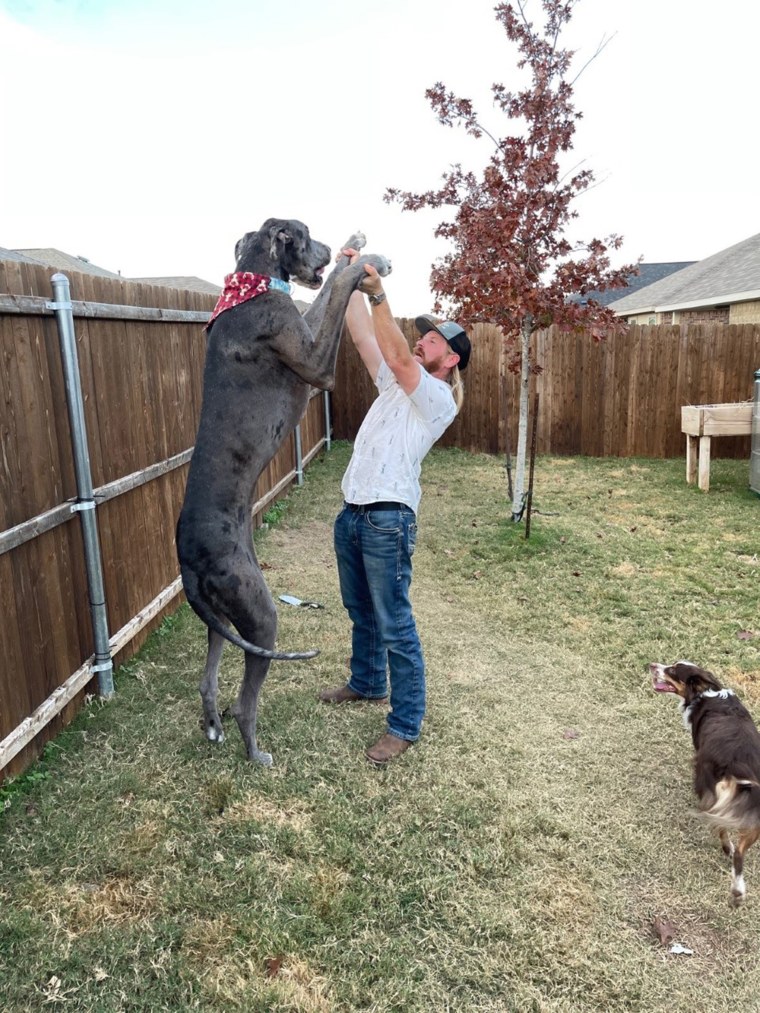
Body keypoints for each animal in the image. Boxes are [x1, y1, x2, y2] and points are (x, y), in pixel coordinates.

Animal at [178, 219, 393, 761]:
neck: (252, 282)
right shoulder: (314, 360)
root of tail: (188, 565)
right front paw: (366, 263)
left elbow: (326, 292)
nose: (327, 247)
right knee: (243, 702)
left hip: (223, 614)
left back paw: (212, 725)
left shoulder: (306, 332)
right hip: (260, 615)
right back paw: (255, 752)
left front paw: (355, 247)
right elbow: (338, 288)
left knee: (208, 680)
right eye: (307, 234)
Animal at [652, 660, 760, 907]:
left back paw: (727, 851)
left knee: (722, 831)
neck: (706, 693)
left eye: (672, 670)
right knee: (740, 853)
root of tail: (737, 765)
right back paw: (738, 892)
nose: (652, 665)